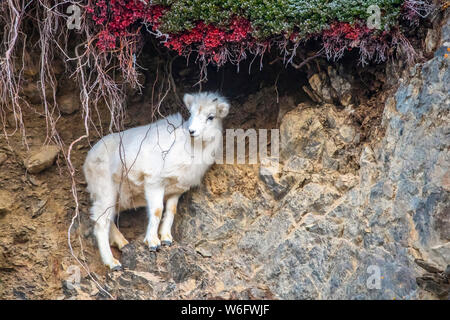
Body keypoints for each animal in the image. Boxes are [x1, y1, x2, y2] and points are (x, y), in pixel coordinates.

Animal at [83, 92, 230, 270]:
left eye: (211, 117)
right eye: (191, 113)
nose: (192, 131)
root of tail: (88, 158)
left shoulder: (175, 191)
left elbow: (171, 212)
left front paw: (166, 238)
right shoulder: (154, 183)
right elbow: (157, 211)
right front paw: (153, 242)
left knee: (109, 217)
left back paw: (122, 243)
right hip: (106, 191)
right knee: (101, 222)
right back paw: (113, 263)